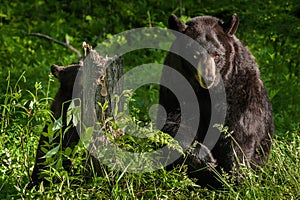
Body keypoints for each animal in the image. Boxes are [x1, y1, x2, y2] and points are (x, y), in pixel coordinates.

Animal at [159, 13, 274, 188]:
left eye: (217, 54)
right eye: (194, 55)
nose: (207, 78)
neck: (208, 94)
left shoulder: (241, 90)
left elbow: (240, 133)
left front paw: (236, 178)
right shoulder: (176, 87)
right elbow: (175, 126)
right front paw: (207, 160)